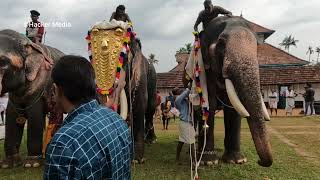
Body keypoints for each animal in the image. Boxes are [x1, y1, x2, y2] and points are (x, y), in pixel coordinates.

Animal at [0, 29, 64, 169]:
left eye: (2, 63)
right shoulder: (14, 99)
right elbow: (11, 117)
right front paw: (8, 164)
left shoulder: (39, 87)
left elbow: (35, 117)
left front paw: (32, 163)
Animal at [85, 20, 157, 162]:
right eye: (91, 59)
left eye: (123, 59)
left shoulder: (140, 74)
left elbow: (139, 105)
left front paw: (137, 159)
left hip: (153, 79)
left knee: (150, 109)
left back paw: (151, 140)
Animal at [185, 15, 272, 167]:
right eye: (220, 43)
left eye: (257, 46)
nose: (260, 161)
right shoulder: (205, 72)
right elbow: (209, 105)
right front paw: (208, 162)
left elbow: (233, 109)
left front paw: (237, 160)